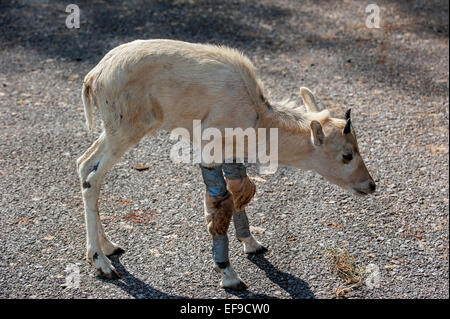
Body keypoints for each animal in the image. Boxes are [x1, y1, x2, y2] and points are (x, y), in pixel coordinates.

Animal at [78, 39, 376, 290]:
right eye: (346, 155)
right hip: (126, 131)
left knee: (84, 164)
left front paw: (253, 244)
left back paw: (109, 247)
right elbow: (220, 204)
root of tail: (94, 76)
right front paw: (230, 276)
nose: (370, 185)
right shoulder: (209, 153)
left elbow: (240, 191)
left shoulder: (232, 154)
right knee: (93, 177)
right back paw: (102, 264)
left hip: (113, 132)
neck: (257, 115)